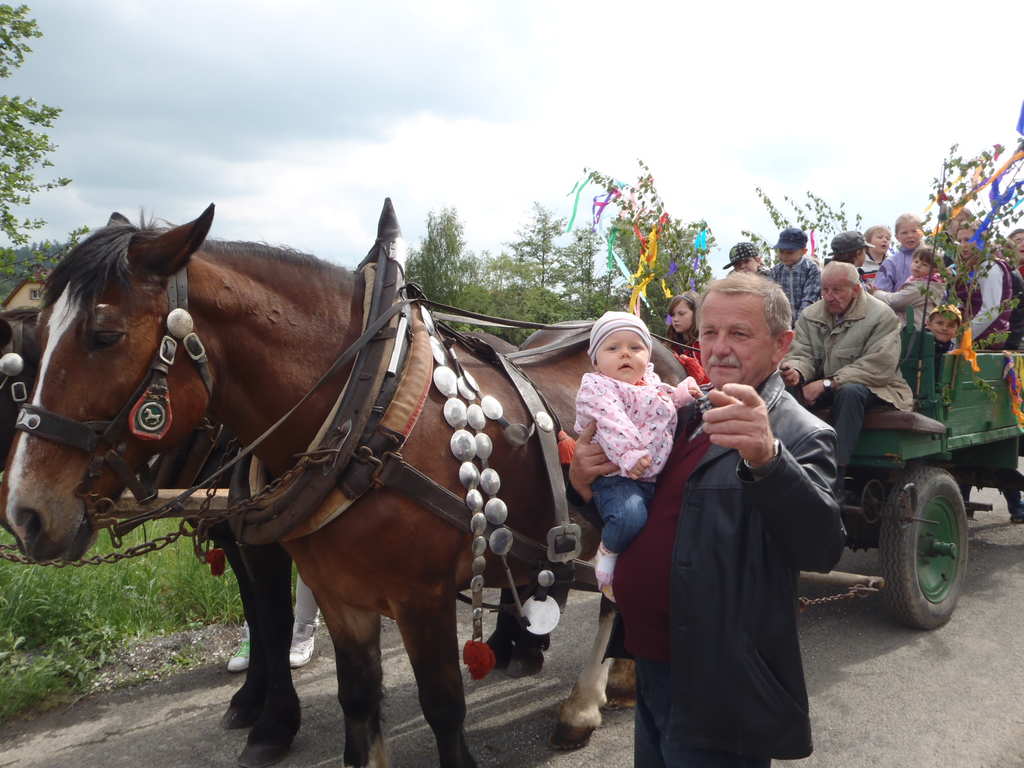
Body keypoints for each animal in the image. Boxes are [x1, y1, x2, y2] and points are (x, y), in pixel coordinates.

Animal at [2, 205, 679, 768]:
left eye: (104, 335)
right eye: (31, 349)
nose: (25, 513)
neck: (369, 410)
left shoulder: (422, 598)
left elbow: (443, 705)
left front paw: (269, 721)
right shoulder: (338, 592)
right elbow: (356, 699)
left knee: (614, 596)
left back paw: (584, 703)